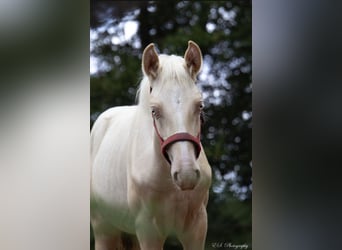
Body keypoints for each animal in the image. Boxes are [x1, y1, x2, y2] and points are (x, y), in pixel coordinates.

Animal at [92, 40, 212, 249]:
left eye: (200, 105)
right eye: (155, 110)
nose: (186, 174)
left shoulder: (197, 226)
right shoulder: (148, 229)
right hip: (104, 230)